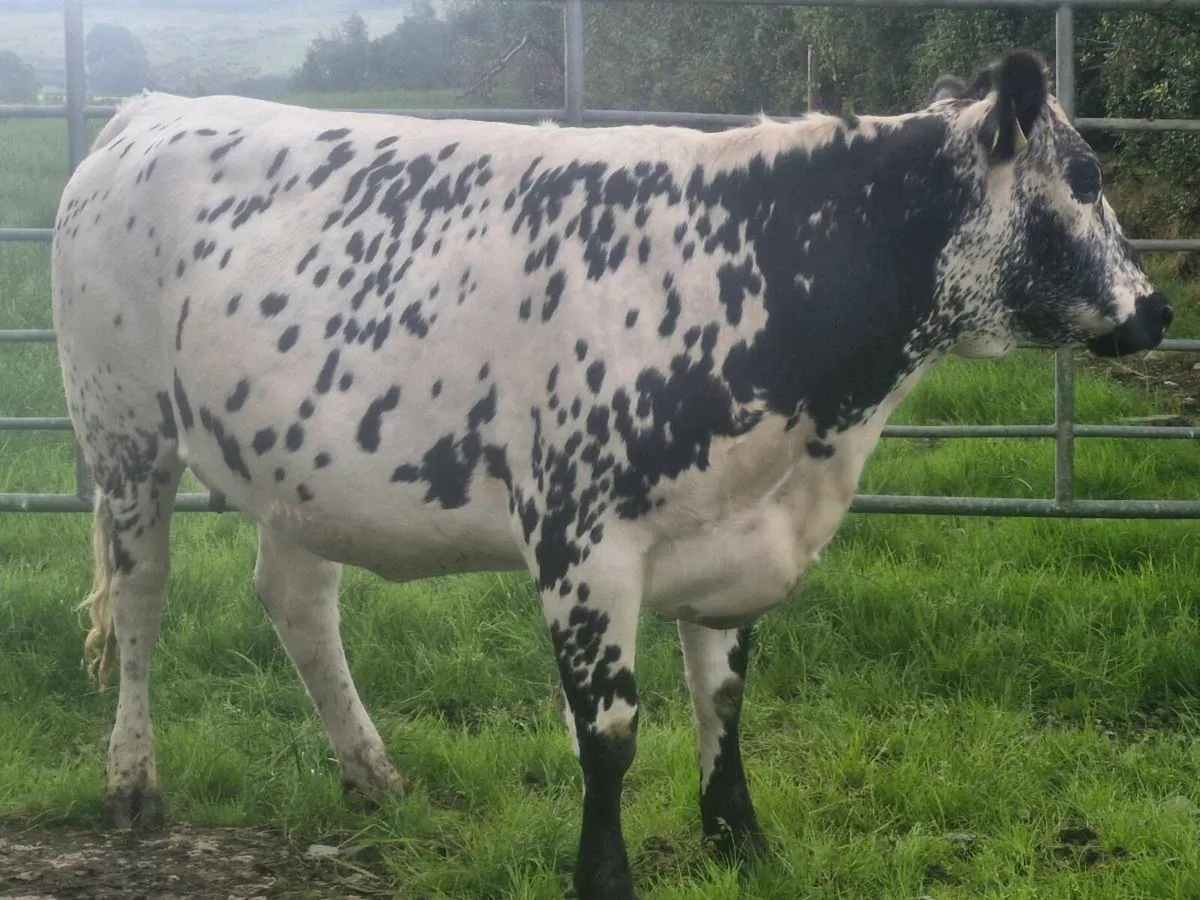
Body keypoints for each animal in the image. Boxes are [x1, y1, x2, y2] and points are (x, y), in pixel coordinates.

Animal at [51, 48, 1170, 899]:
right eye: (1085, 176)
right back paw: (133, 784)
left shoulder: (733, 538)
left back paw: (372, 773)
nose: (1159, 310)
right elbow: (611, 734)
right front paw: (605, 878)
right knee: (143, 600)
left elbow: (724, 702)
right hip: (123, 432)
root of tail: (151, 109)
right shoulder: (581, 540)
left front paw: (742, 844)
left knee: (297, 601)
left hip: (301, 472)